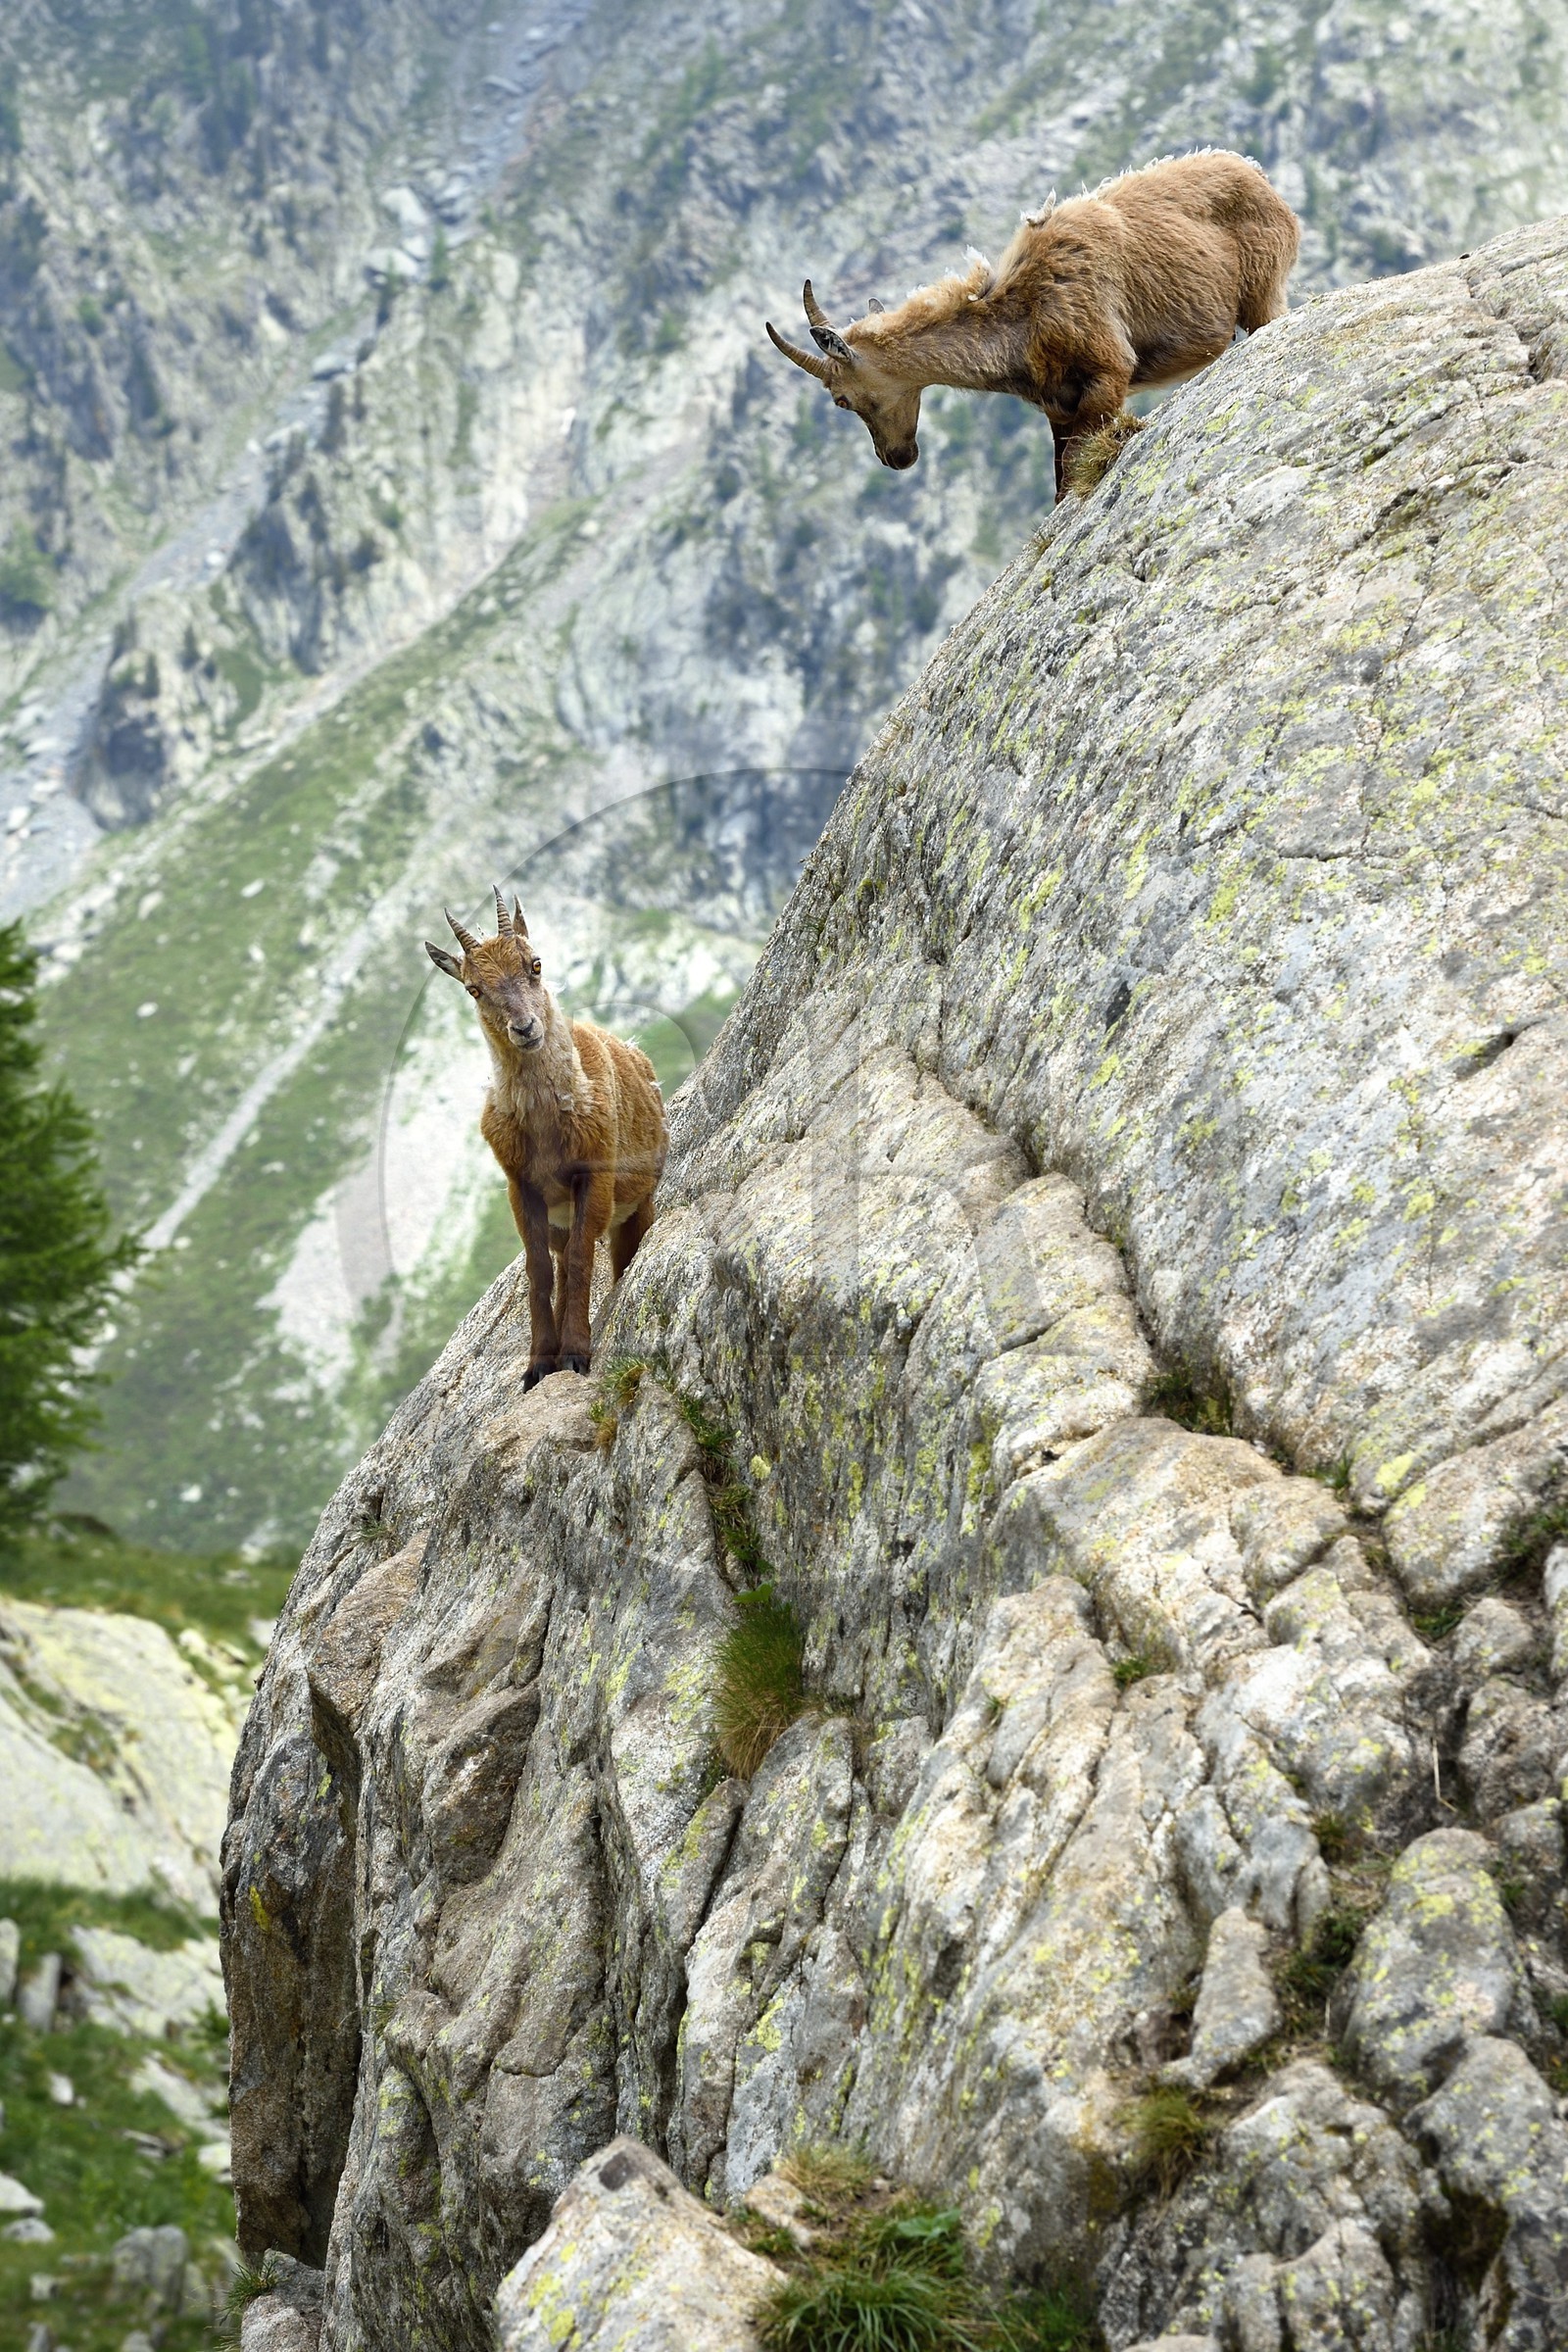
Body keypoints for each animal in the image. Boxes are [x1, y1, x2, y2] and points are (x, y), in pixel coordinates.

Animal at [425, 890, 667, 1387]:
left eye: (535, 963)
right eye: (473, 989)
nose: (525, 1028)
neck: (546, 1124)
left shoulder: (594, 1177)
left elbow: (579, 1260)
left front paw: (575, 1354)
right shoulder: (522, 1188)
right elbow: (538, 1271)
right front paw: (539, 1363)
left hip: (637, 1204)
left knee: (614, 1257)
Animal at [766, 150, 1300, 496]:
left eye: (841, 399)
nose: (896, 458)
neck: (1021, 319)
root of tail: (1260, 177)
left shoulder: (1109, 374)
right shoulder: (1058, 406)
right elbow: (1061, 479)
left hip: (1263, 294)